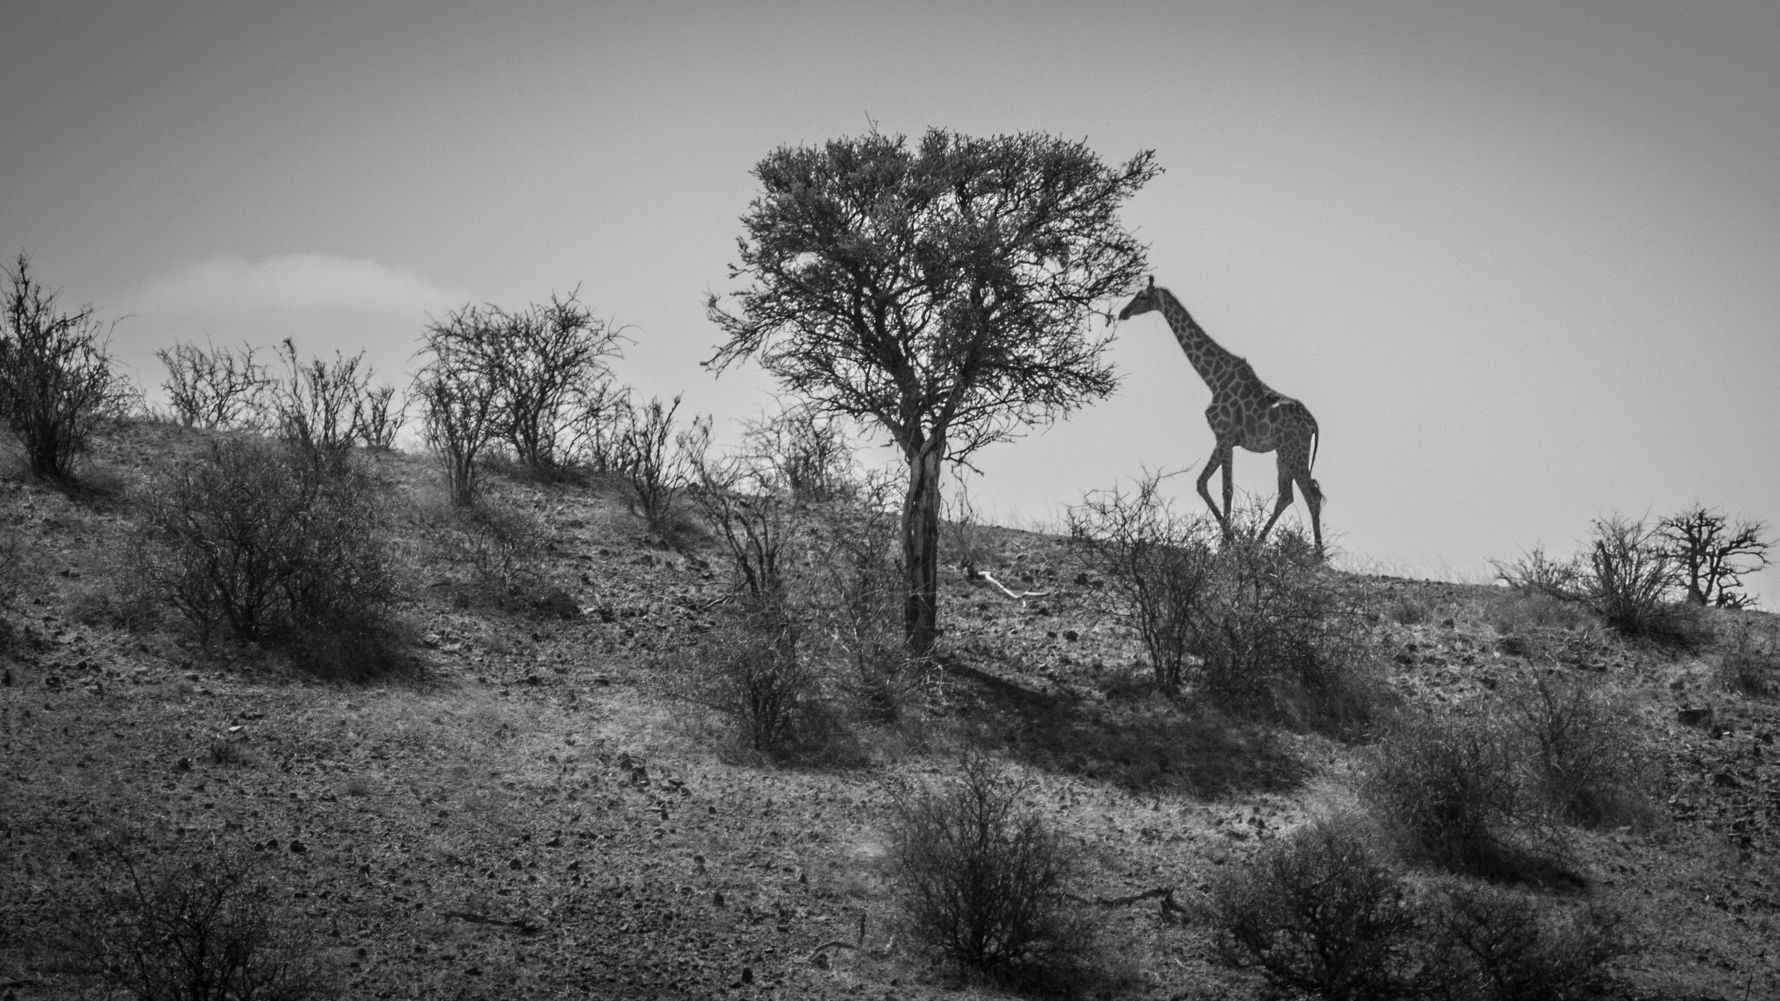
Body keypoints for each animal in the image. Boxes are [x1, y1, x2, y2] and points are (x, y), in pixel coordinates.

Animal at [1117, 277, 1324, 556]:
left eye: (1141, 296)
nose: (1122, 313)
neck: (1213, 378)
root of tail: (1313, 424)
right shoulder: (1222, 438)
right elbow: (1202, 482)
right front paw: (1230, 538)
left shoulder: (1225, 435)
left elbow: (1226, 488)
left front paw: (1227, 542)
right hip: (1282, 454)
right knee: (1287, 495)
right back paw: (1256, 543)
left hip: (1295, 451)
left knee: (1311, 494)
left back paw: (1318, 555)